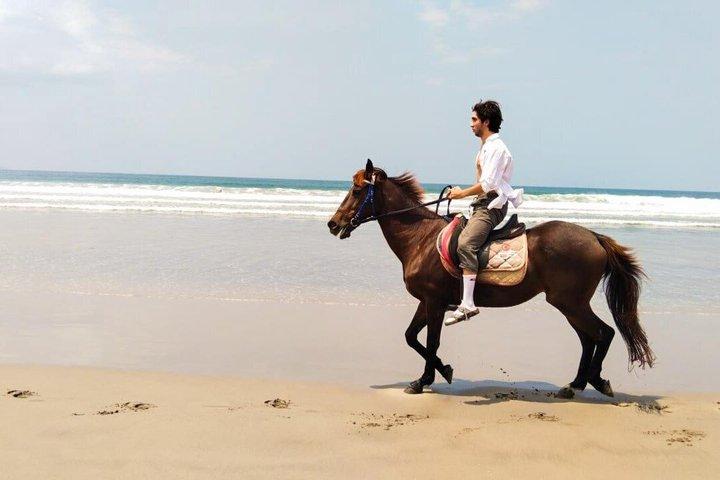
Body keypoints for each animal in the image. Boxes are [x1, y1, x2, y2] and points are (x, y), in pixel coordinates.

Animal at [327, 160, 654, 398]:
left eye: (357, 191)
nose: (333, 224)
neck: (420, 238)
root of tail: (595, 237)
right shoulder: (427, 301)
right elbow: (411, 337)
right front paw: (441, 371)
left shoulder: (434, 302)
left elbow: (431, 341)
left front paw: (426, 379)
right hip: (568, 304)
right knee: (589, 338)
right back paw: (574, 385)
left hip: (570, 302)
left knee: (603, 333)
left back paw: (597, 382)